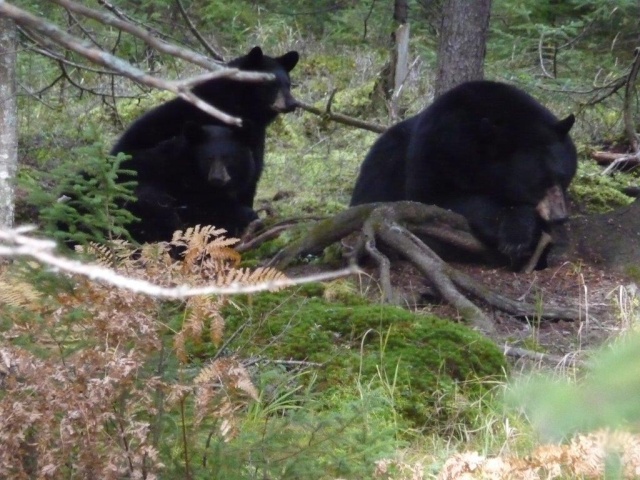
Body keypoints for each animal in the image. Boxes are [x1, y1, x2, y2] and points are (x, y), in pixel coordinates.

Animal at [122, 122, 258, 242]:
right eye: (208, 159)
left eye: (228, 158)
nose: (217, 178)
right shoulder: (185, 186)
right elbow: (209, 207)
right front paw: (247, 215)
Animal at [350, 79, 580, 266]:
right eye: (538, 184)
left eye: (563, 177)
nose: (560, 216)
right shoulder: (435, 147)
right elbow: (436, 199)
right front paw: (516, 233)